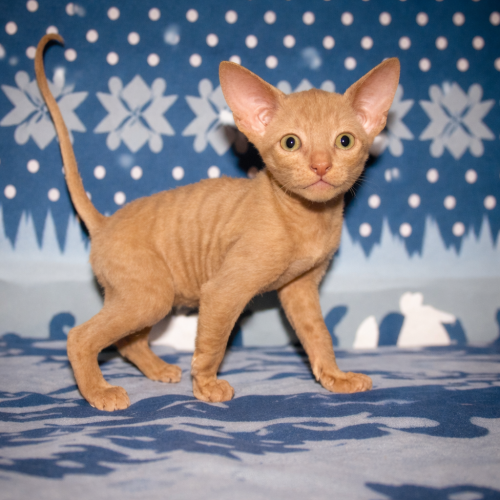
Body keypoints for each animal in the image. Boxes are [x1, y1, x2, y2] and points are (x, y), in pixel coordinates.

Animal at [35, 33, 400, 411]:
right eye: (290, 143)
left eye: (345, 141)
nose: (321, 166)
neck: (308, 216)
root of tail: (105, 222)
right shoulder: (224, 291)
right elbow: (213, 343)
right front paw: (207, 386)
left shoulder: (300, 289)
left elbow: (319, 336)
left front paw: (335, 378)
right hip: (151, 295)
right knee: (79, 337)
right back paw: (99, 391)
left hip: (142, 296)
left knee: (127, 341)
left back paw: (156, 370)